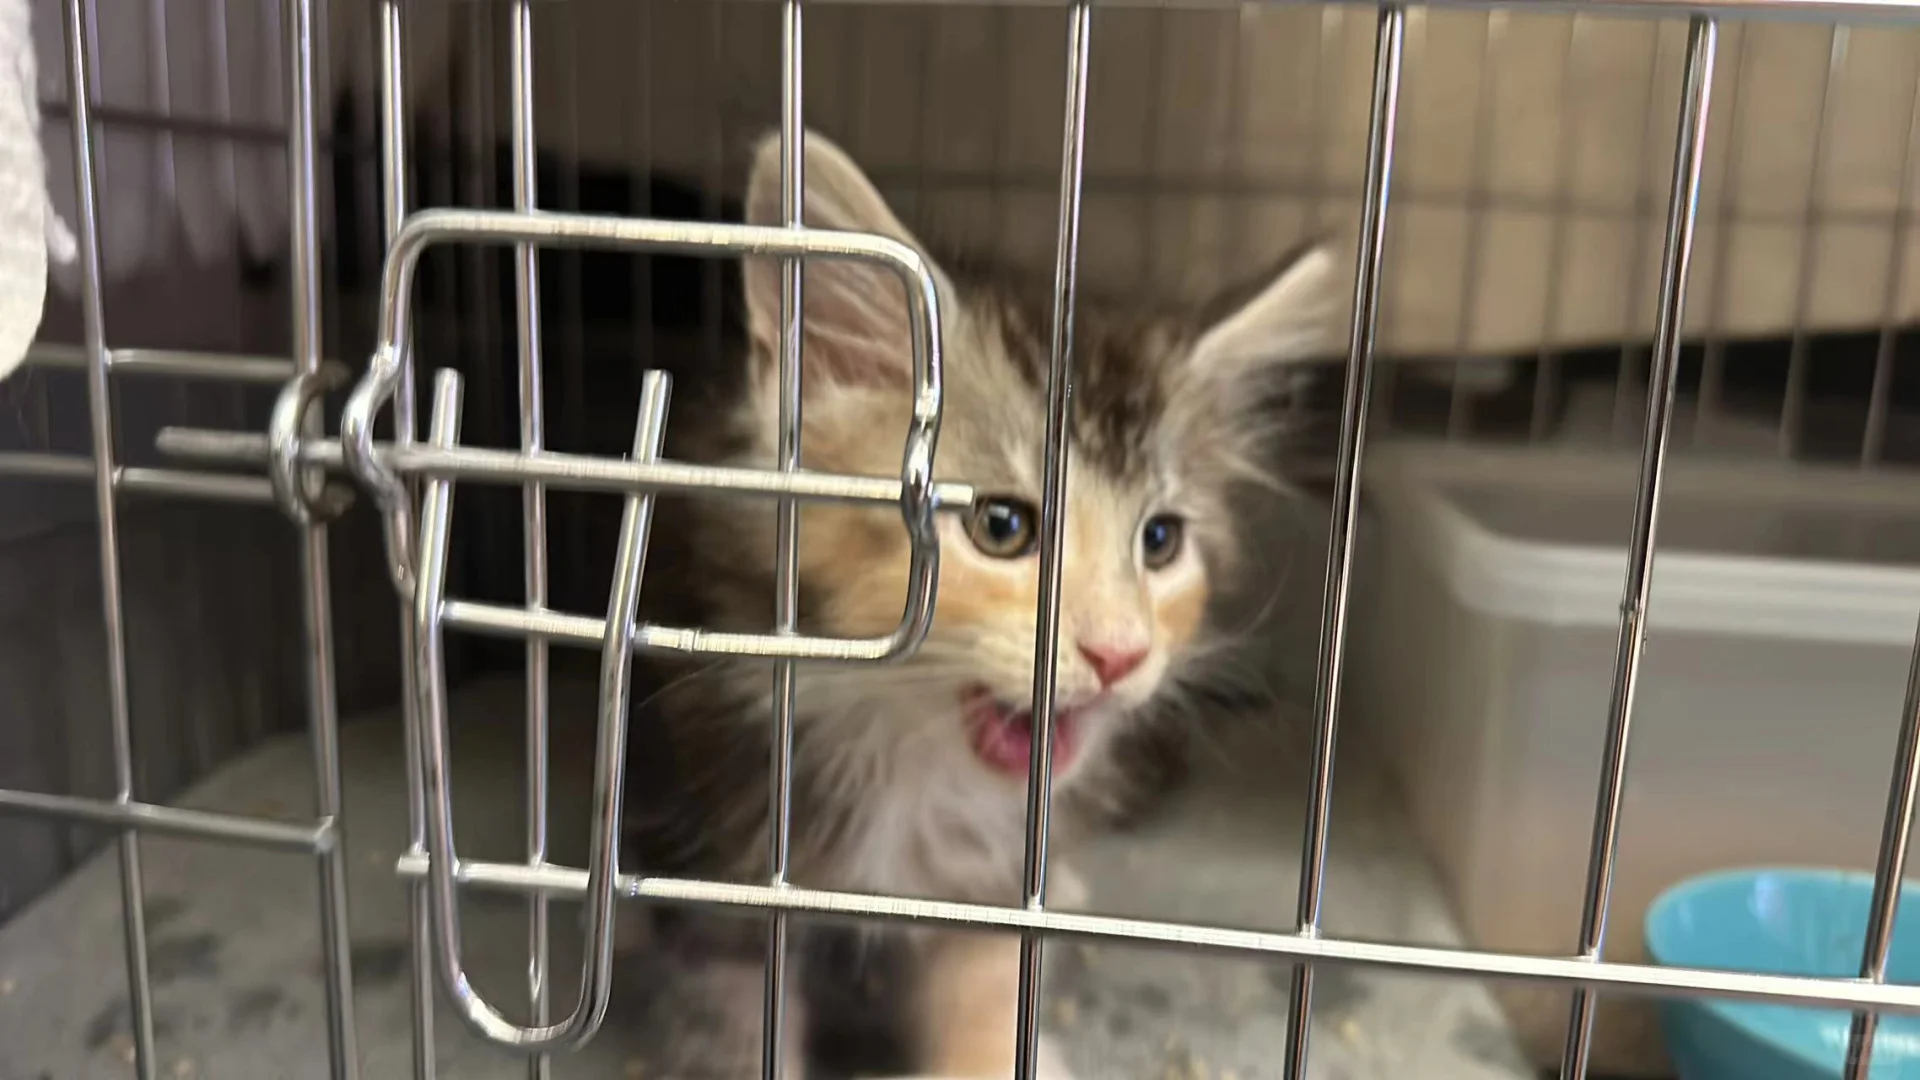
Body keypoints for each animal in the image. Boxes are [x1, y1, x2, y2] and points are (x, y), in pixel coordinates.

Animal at [619, 128, 1342, 1079]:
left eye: (1159, 541)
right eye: (1002, 527)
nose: (1119, 655)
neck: (909, 756)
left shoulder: (995, 884)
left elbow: (988, 984)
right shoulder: (717, 860)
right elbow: (732, 1020)